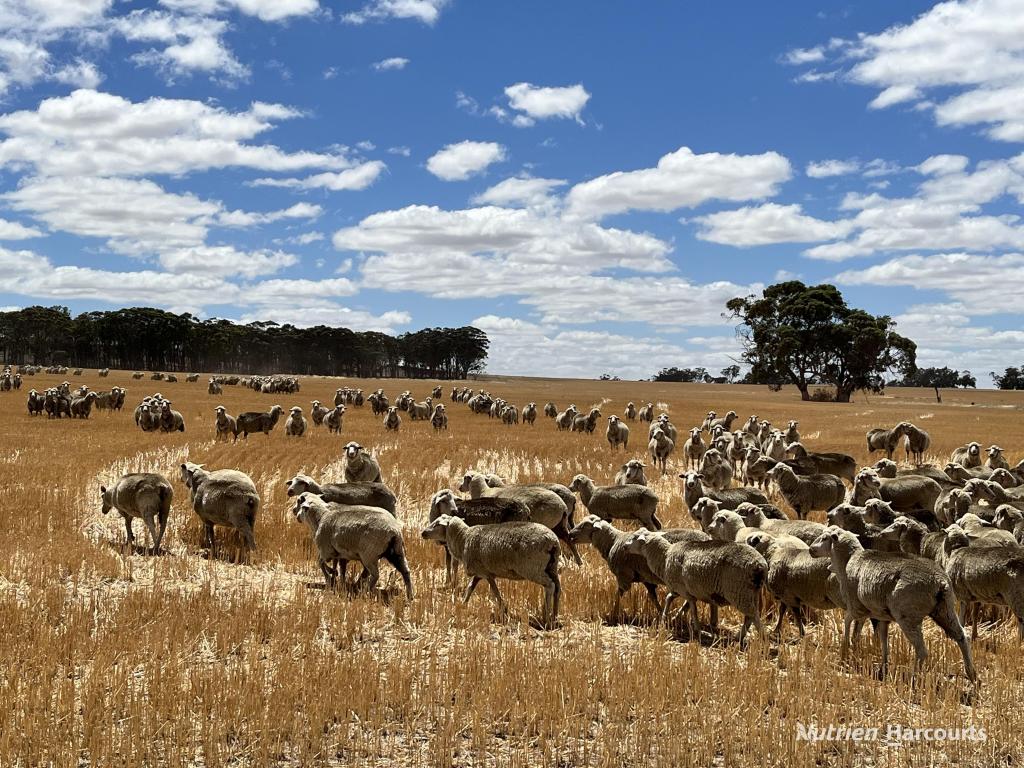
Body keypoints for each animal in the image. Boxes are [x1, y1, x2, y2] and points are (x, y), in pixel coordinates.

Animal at [421, 514, 561, 626]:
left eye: (437, 524)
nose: (423, 533)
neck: (463, 539)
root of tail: (553, 541)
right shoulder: (480, 572)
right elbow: (470, 588)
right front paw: (463, 604)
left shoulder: (486, 573)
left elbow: (494, 591)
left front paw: (504, 610)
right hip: (551, 567)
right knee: (557, 588)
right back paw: (554, 616)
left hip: (533, 569)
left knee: (550, 586)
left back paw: (546, 616)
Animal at [573, 518, 708, 618]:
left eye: (584, 525)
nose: (570, 534)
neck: (612, 541)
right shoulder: (646, 578)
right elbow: (653, 597)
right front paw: (661, 614)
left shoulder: (624, 576)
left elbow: (618, 594)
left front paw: (614, 613)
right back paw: (678, 616)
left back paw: (678, 616)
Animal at [622, 528, 770, 647]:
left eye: (635, 537)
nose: (624, 546)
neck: (664, 556)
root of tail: (760, 566)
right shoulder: (685, 589)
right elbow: (672, 599)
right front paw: (669, 617)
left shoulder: (684, 590)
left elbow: (692, 609)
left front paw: (696, 629)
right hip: (752, 593)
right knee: (749, 617)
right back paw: (738, 638)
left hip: (739, 592)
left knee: (753, 616)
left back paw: (762, 641)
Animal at [806, 528, 974, 684]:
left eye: (825, 537)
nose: (811, 550)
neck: (846, 561)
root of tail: (940, 582)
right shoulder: (881, 617)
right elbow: (882, 640)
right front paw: (883, 666)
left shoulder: (856, 607)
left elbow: (847, 622)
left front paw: (845, 649)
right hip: (946, 609)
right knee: (962, 637)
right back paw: (972, 674)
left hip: (908, 616)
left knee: (921, 651)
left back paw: (913, 679)